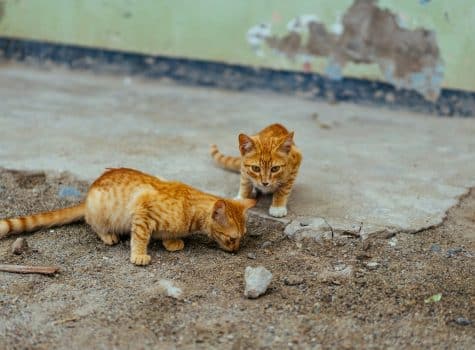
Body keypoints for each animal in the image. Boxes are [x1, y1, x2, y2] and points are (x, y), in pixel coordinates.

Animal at [0, 167, 256, 266]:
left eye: (241, 238)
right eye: (232, 238)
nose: (236, 250)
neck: (190, 208)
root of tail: (88, 195)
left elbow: (168, 234)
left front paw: (171, 241)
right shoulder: (143, 212)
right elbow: (140, 237)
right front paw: (139, 255)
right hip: (100, 211)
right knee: (93, 224)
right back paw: (108, 236)